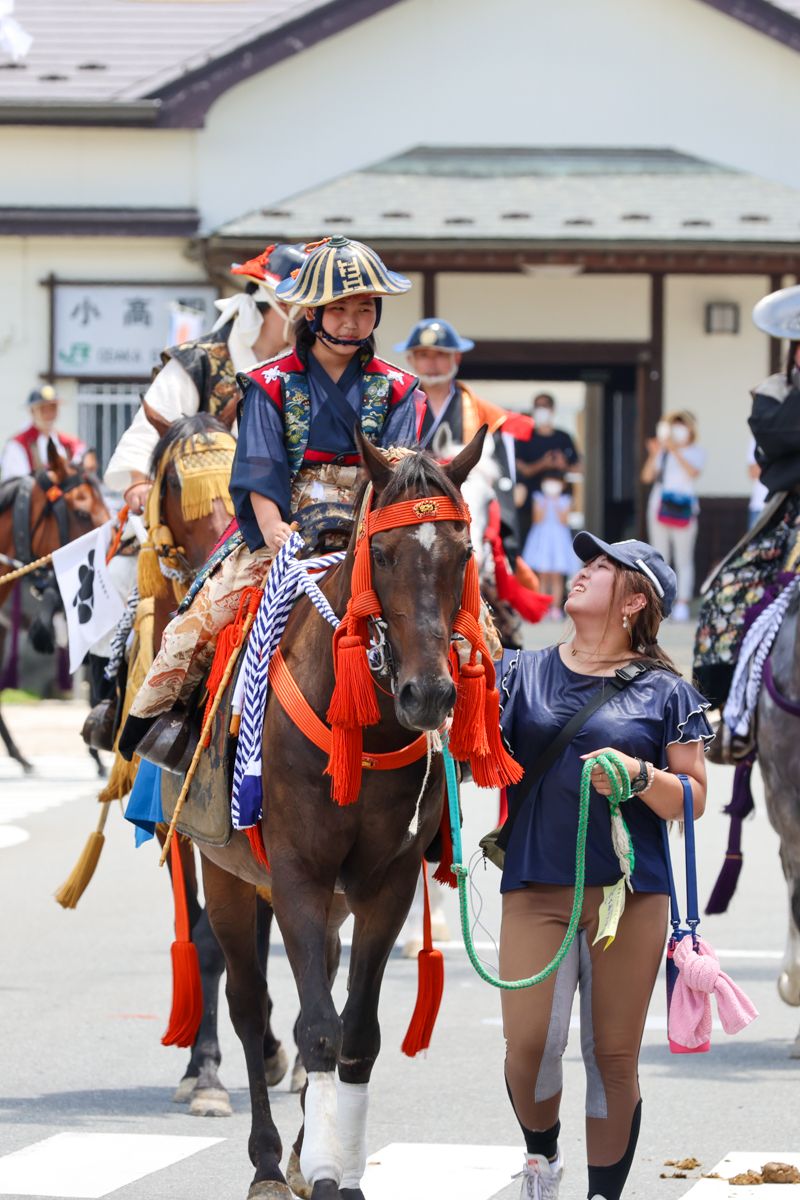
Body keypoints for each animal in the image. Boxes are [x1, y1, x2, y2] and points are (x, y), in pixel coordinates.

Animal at [199, 432, 489, 1200]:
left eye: (463, 554)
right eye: (381, 555)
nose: (428, 694)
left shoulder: (385, 881)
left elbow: (354, 1033)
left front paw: (335, 1165)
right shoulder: (297, 872)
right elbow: (318, 1030)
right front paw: (318, 1168)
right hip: (228, 875)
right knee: (250, 1004)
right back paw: (270, 1162)